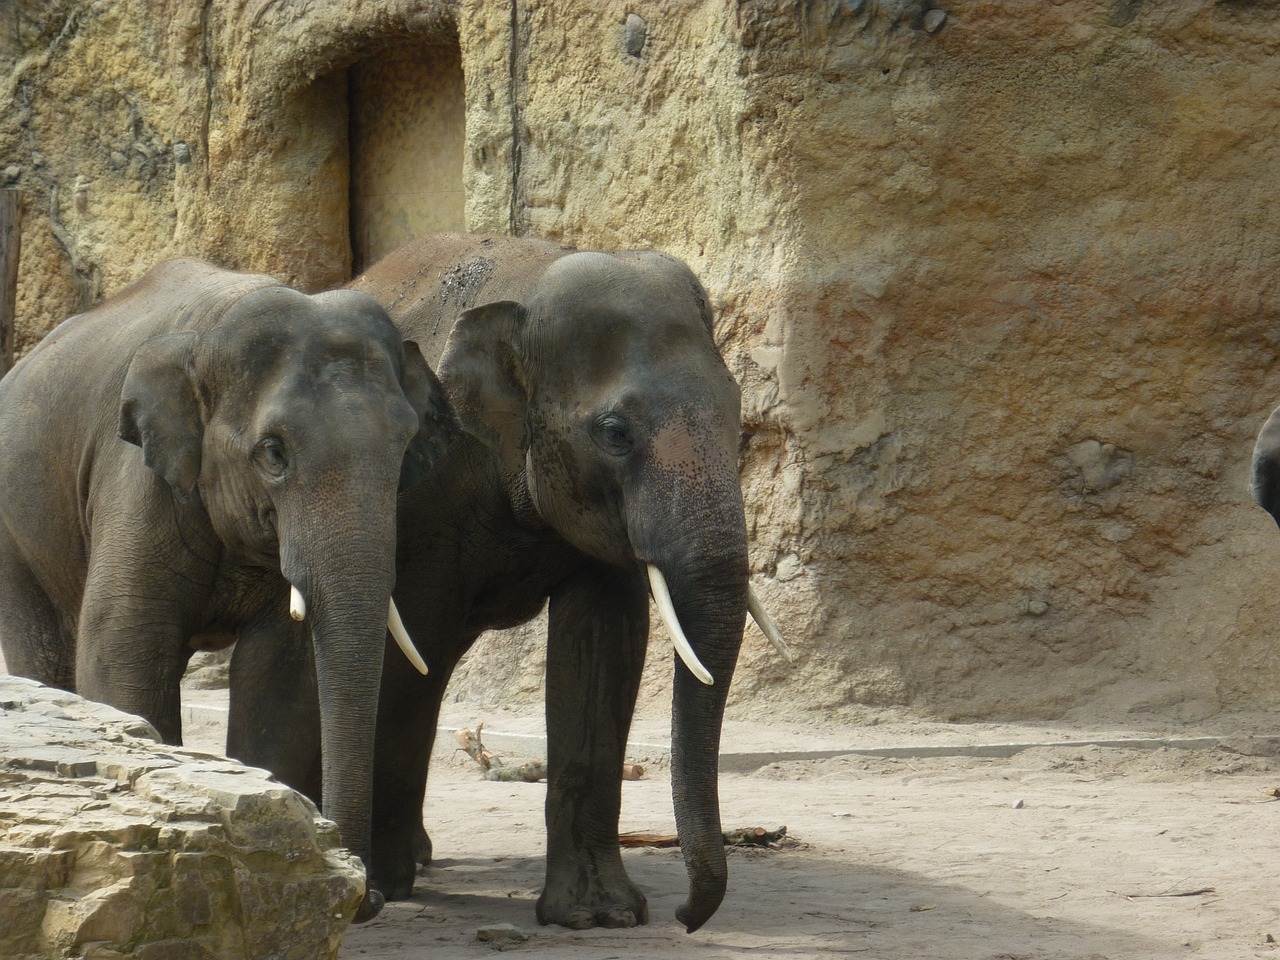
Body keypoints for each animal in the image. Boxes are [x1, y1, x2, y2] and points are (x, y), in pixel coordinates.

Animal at [0, 256, 455, 926]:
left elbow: (281, 677)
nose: (368, 899)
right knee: (45, 653)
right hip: (19, 536)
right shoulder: (135, 481)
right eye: (273, 452)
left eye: (405, 446)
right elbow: (123, 651)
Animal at [337, 232, 788, 931]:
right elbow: (411, 641)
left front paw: (599, 916)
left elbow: (604, 644)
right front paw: (381, 886)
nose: (685, 915)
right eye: (615, 432)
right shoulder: (422, 499)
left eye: (737, 412)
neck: (532, 283)